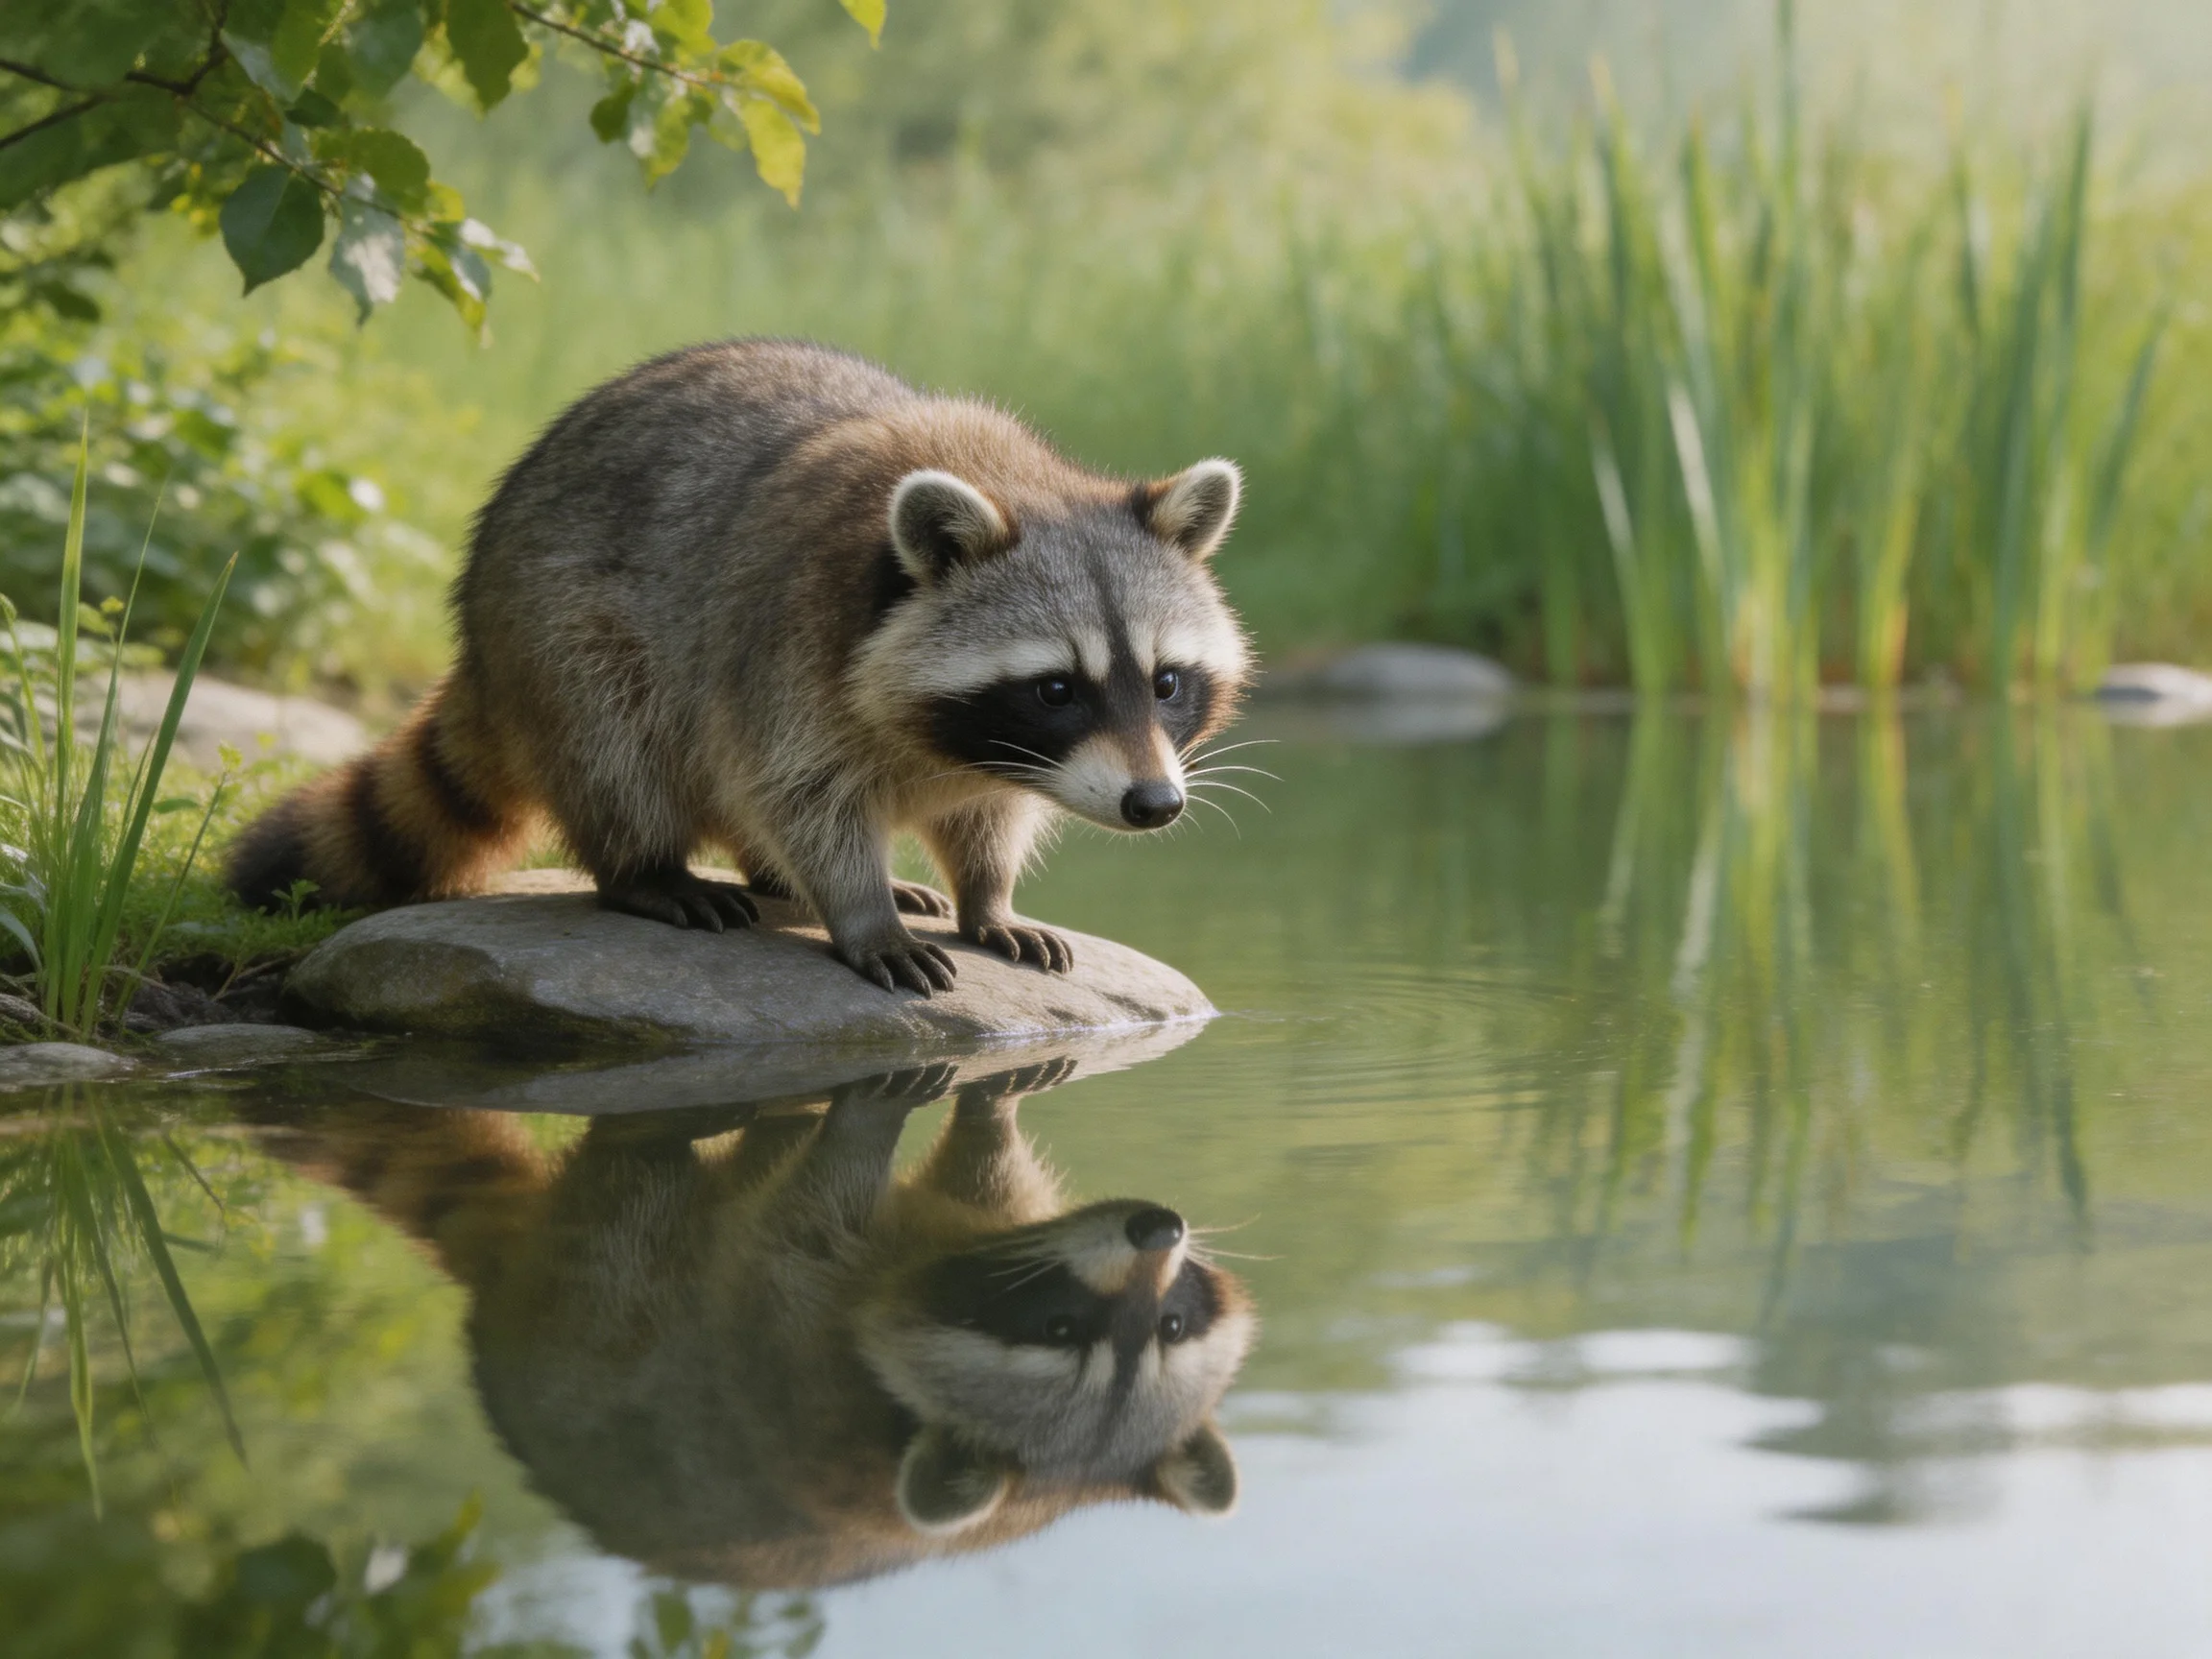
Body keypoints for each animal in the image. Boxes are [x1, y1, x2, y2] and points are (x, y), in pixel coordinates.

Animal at [225, 339, 1251, 993]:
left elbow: (988, 815)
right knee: (619, 749)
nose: (1155, 804)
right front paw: (860, 910)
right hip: (559, 634)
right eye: (1056, 689)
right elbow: (803, 793)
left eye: (1165, 681)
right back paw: (649, 869)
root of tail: (477, 645)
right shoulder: (784, 650)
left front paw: (987, 894)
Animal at [247, 1059, 1255, 1587]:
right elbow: (983, 1165)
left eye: (1166, 1324)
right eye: (1062, 1327)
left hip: (594, 1307)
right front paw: (981, 1105)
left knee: (636, 1212)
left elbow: (811, 1212)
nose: (1157, 1229)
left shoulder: (794, 1339)